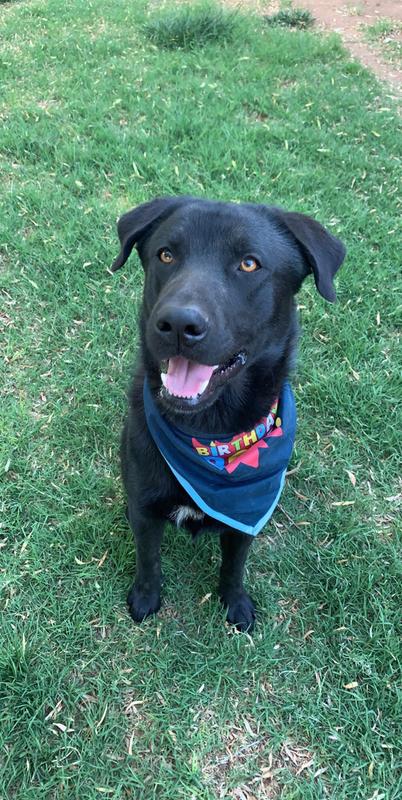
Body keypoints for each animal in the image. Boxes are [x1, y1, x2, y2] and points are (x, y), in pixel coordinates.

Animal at [110, 195, 346, 632]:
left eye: (249, 264)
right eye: (166, 254)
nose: (178, 323)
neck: (211, 433)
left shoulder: (247, 517)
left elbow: (235, 564)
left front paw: (234, 603)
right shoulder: (144, 508)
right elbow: (149, 559)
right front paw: (146, 598)